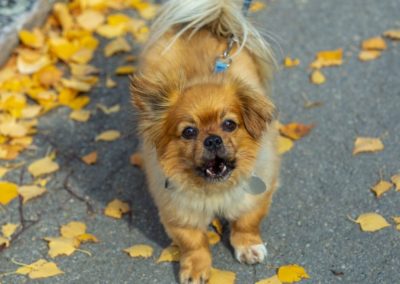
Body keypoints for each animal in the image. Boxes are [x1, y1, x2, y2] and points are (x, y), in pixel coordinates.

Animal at [132, 1, 282, 282]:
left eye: (229, 125)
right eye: (189, 132)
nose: (212, 140)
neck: (216, 191)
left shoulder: (255, 197)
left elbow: (246, 223)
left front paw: (248, 247)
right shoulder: (179, 213)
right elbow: (194, 244)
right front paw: (196, 269)